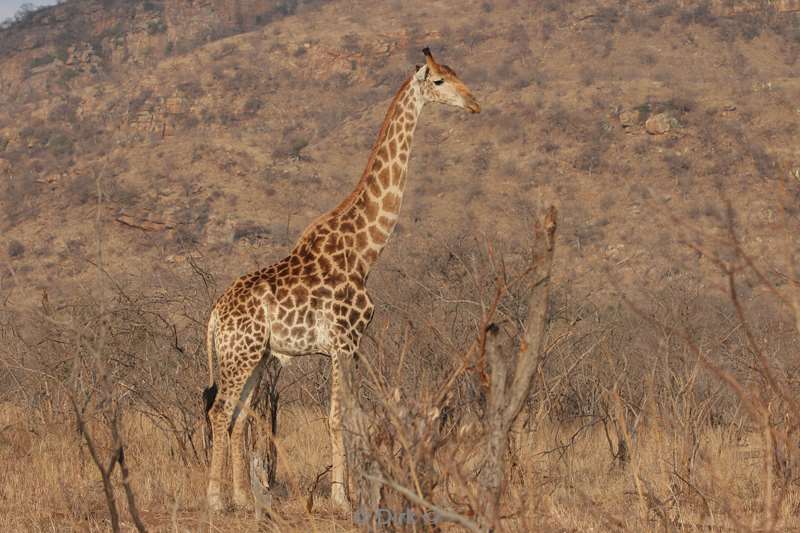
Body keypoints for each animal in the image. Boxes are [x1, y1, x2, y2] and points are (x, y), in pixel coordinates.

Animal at [206, 47, 482, 510]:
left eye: (457, 72)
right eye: (439, 80)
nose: (475, 103)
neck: (364, 251)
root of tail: (213, 316)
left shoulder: (350, 345)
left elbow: (351, 416)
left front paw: (348, 493)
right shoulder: (345, 340)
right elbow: (339, 417)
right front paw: (342, 499)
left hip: (255, 356)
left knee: (239, 415)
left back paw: (243, 499)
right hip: (239, 353)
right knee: (219, 410)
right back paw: (213, 498)